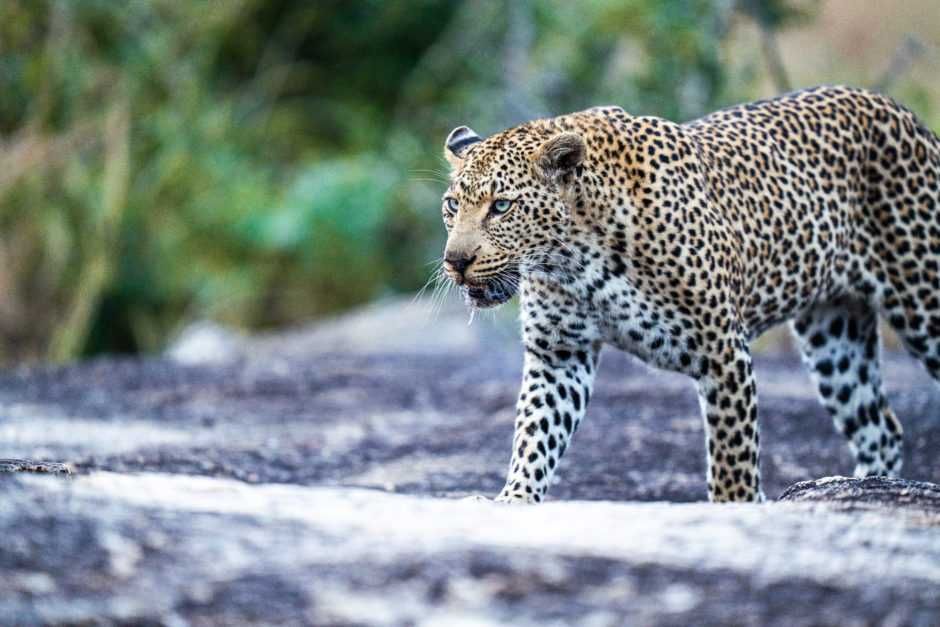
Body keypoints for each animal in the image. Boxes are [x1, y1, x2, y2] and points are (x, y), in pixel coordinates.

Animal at [438, 84, 940, 506]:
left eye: (502, 206)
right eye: (452, 205)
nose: (455, 260)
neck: (575, 259)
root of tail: (905, 113)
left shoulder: (723, 352)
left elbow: (733, 458)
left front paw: (738, 509)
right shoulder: (559, 353)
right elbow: (536, 431)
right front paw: (515, 499)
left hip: (923, 299)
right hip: (833, 334)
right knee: (881, 429)